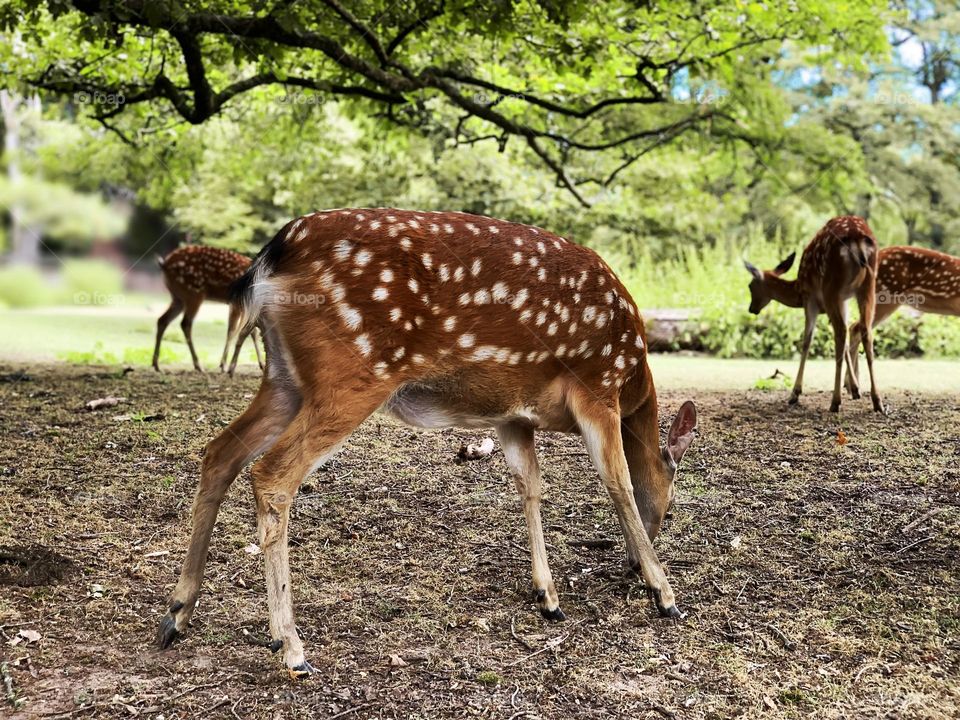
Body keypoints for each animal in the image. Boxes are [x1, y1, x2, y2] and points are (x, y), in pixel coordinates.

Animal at [153, 245, 265, 375]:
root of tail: (164, 264)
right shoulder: (237, 304)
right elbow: (233, 331)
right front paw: (224, 366)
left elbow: (250, 332)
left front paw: (261, 365)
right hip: (194, 292)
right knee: (185, 323)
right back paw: (198, 365)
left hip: (178, 297)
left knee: (162, 320)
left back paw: (156, 365)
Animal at [744, 215, 884, 413]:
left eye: (750, 286)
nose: (752, 309)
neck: (797, 288)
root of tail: (857, 239)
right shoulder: (844, 301)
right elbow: (847, 340)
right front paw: (856, 389)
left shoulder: (810, 299)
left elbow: (806, 341)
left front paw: (795, 393)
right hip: (868, 286)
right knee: (866, 331)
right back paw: (877, 401)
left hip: (831, 287)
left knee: (840, 333)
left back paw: (835, 401)